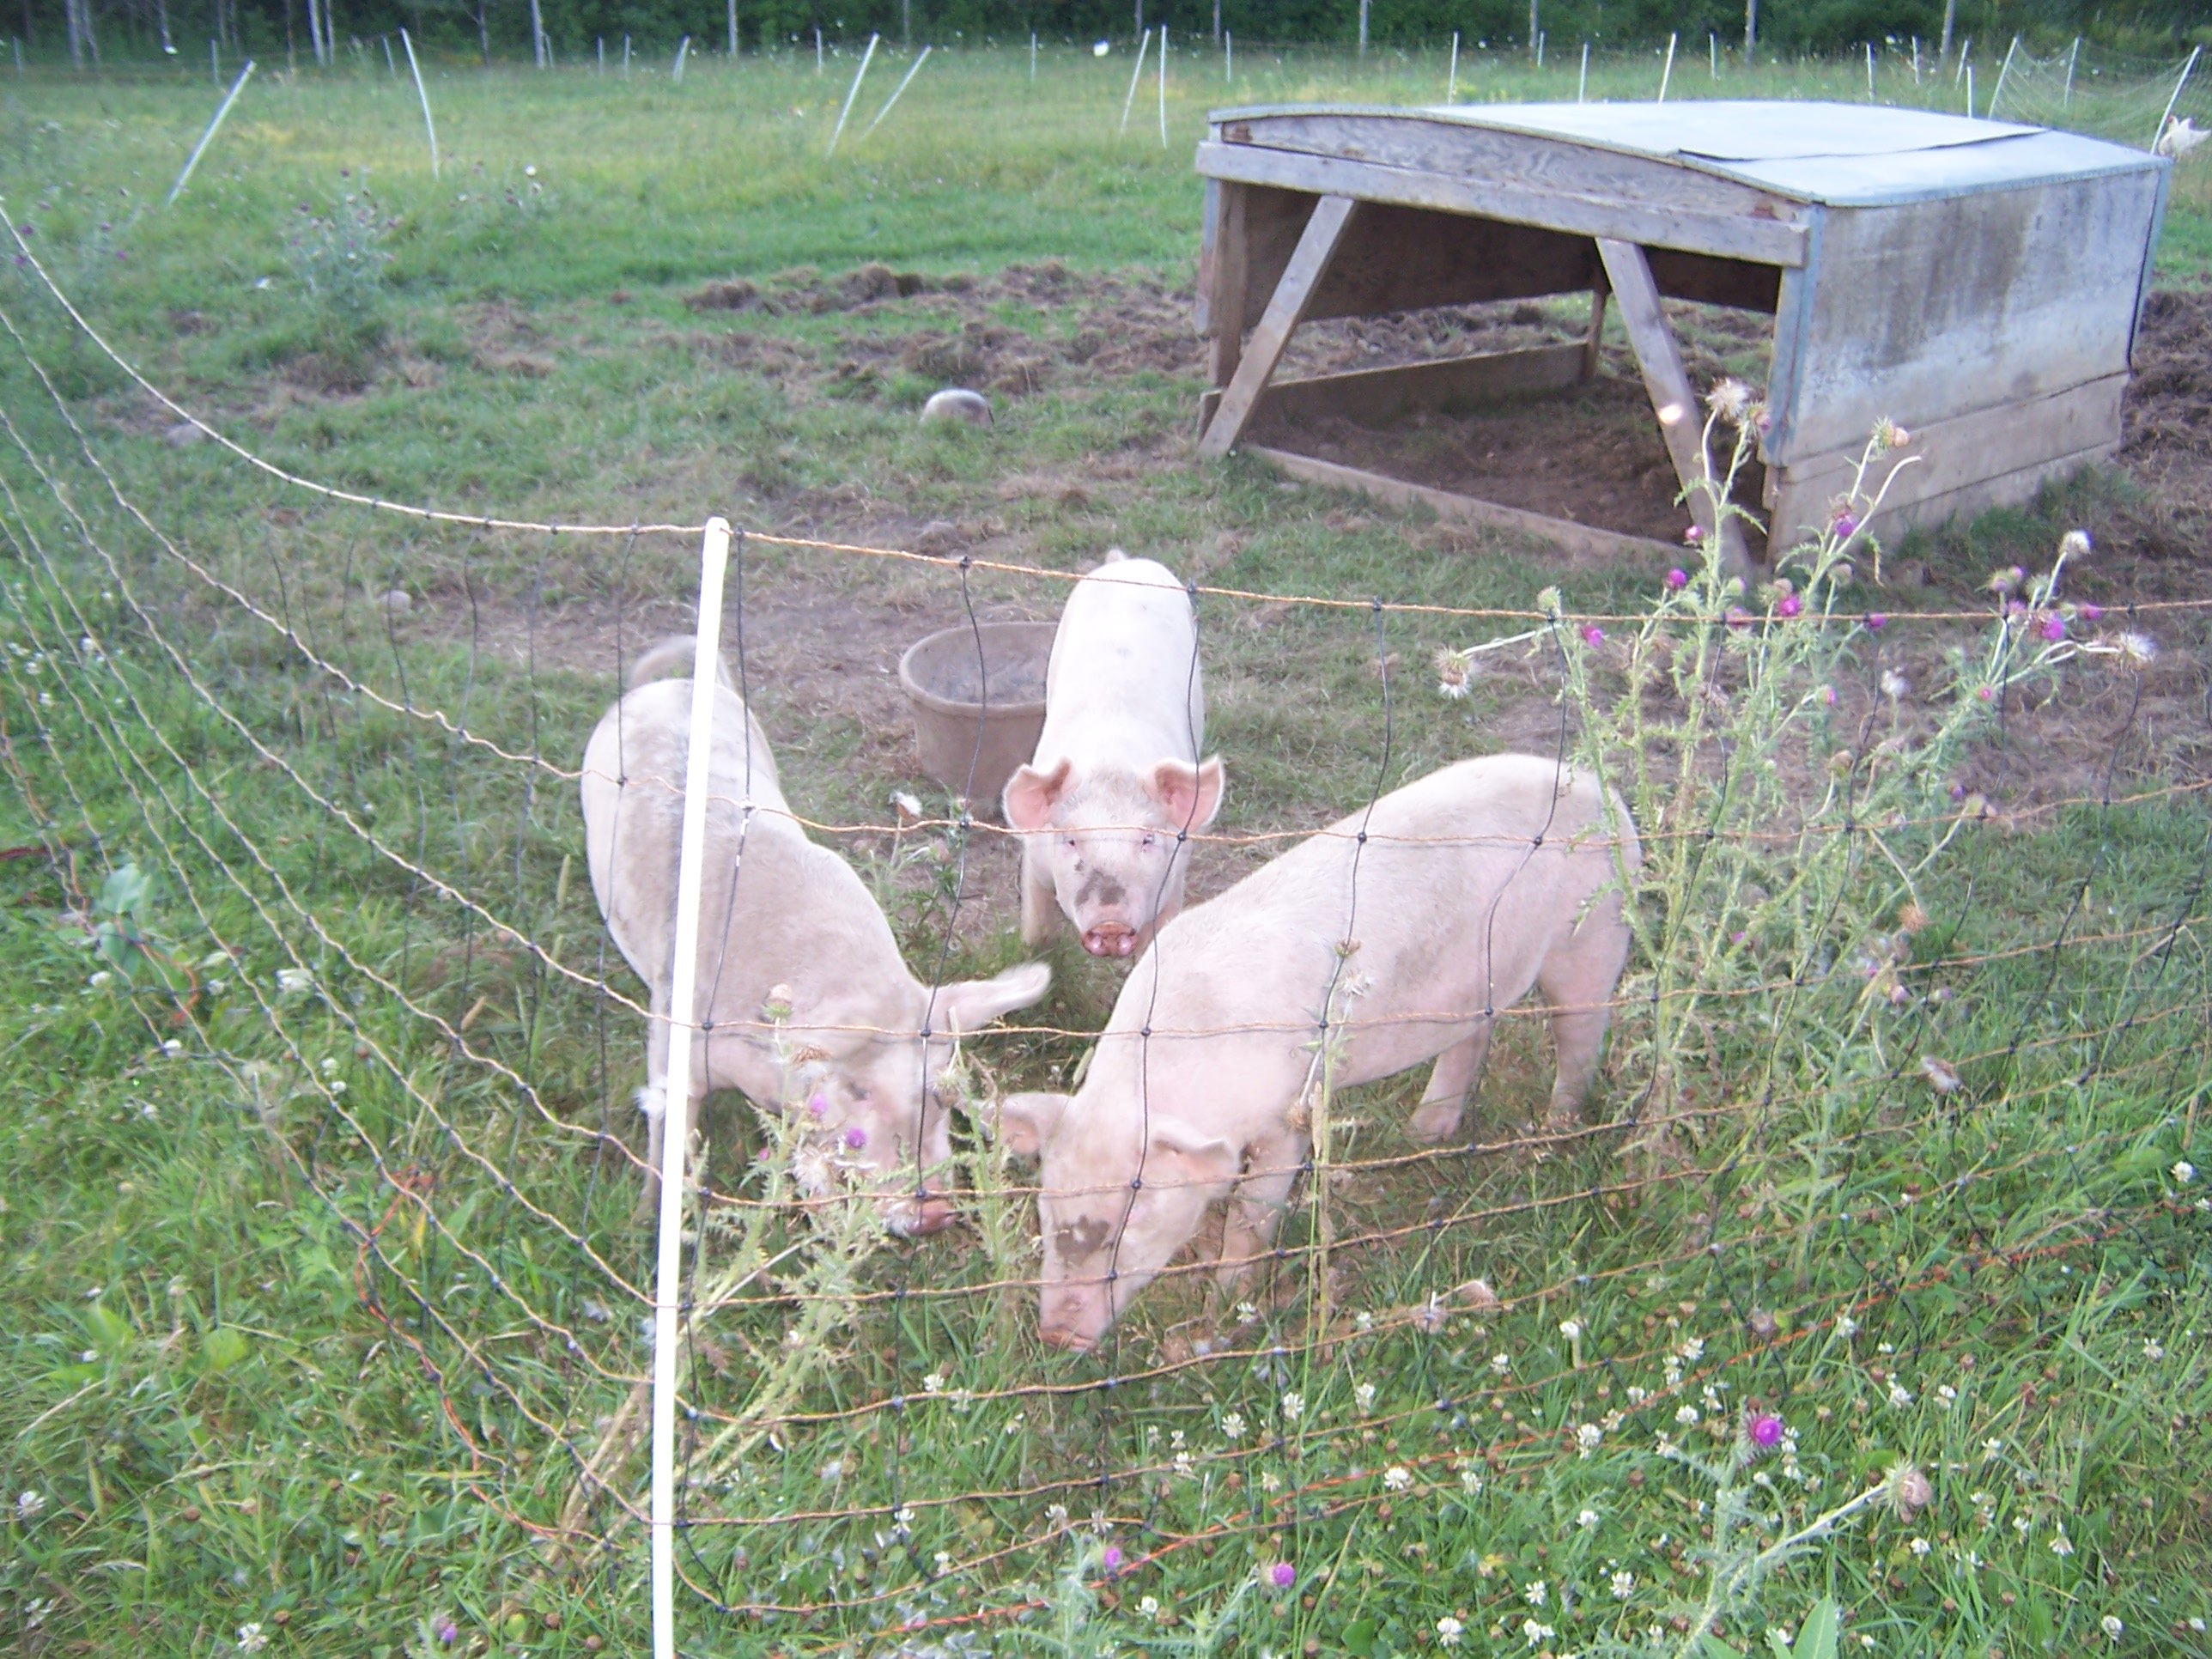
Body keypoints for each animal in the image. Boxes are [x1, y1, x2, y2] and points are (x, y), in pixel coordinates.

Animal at [579, 641, 1043, 1238]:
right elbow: (669, 1126)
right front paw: (648, 1221)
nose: (935, 1210)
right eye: (857, 1090)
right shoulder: (669, 1027)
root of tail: (669, 685)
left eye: (939, 1095)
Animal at [995, 751, 1637, 1353]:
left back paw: (1554, 1132)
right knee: (1473, 1036)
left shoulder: (1288, 1115)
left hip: (1593, 937)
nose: (1057, 1335)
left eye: (1134, 1218)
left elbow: (1253, 1214)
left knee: (1581, 1037)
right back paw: (1423, 1132)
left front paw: (1228, 1298)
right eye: (1046, 1209)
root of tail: (1597, 787)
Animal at [1004, 548, 1230, 959]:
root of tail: (1127, 561)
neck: (1112, 759)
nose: (1110, 924)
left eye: (1147, 839)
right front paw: (1035, 955)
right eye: (1071, 840)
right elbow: (1038, 923)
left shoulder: (1176, 874)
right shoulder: (1034, 858)